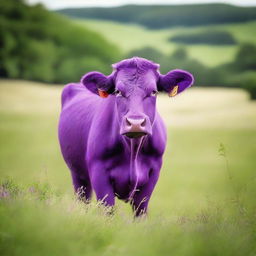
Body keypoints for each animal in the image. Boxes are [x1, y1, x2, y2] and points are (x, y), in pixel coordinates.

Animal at [58, 57, 194, 216]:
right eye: (118, 91)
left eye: (153, 92)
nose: (135, 123)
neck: (133, 151)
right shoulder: (99, 173)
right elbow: (107, 211)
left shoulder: (153, 174)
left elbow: (140, 211)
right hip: (78, 175)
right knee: (83, 199)